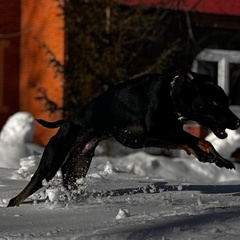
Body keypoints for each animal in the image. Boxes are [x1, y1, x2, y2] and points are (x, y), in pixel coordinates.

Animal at [7, 69, 240, 206]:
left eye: (225, 100)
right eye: (216, 102)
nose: (238, 122)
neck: (171, 96)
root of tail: (66, 122)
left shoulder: (161, 135)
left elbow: (196, 142)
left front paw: (220, 160)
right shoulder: (155, 132)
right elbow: (199, 141)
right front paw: (207, 156)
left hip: (77, 166)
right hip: (51, 163)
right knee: (22, 193)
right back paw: (13, 203)